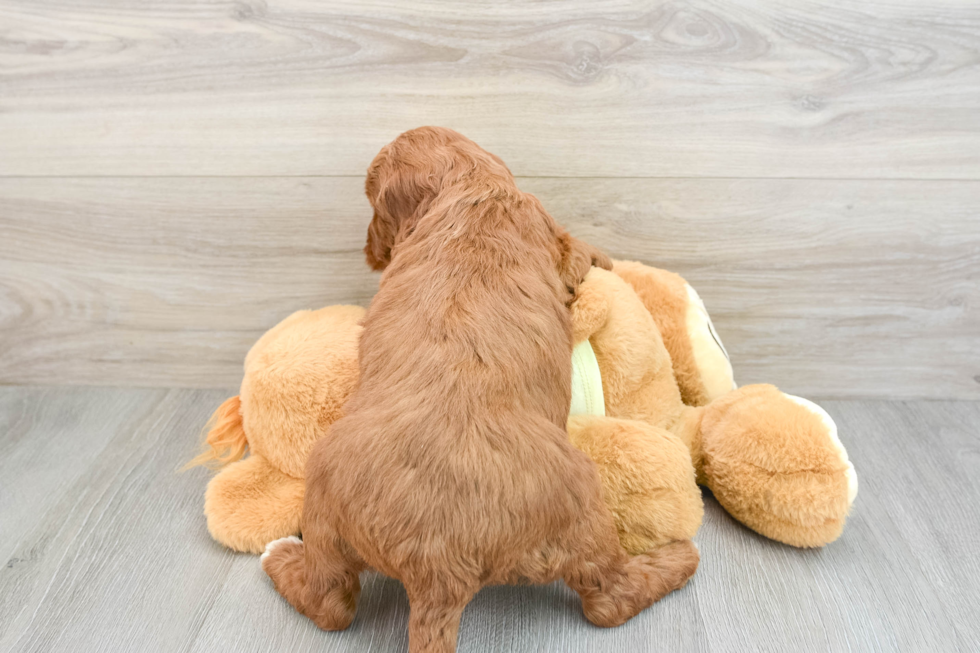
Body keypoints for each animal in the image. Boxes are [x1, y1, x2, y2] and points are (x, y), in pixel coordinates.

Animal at [264, 127, 700, 652]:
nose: (369, 250)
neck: (469, 187)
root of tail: (435, 568)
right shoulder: (550, 234)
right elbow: (577, 250)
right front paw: (603, 258)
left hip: (325, 505)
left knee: (332, 605)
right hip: (585, 508)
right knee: (609, 598)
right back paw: (678, 559)